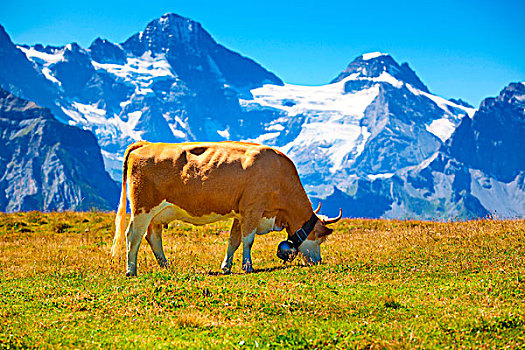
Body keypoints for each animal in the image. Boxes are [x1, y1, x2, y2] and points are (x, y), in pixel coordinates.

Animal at [111, 140, 340, 276]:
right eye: (320, 236)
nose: (318, 262)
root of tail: (146, 144)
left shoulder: (241, 213)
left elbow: (234, 241)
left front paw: (226, 267)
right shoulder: (253, 209)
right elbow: (248, 241)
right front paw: (248, 267)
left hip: (157, 213)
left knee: (153, 237)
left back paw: (166, 266)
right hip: (142, 207)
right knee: (133, 236)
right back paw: (131, 271)